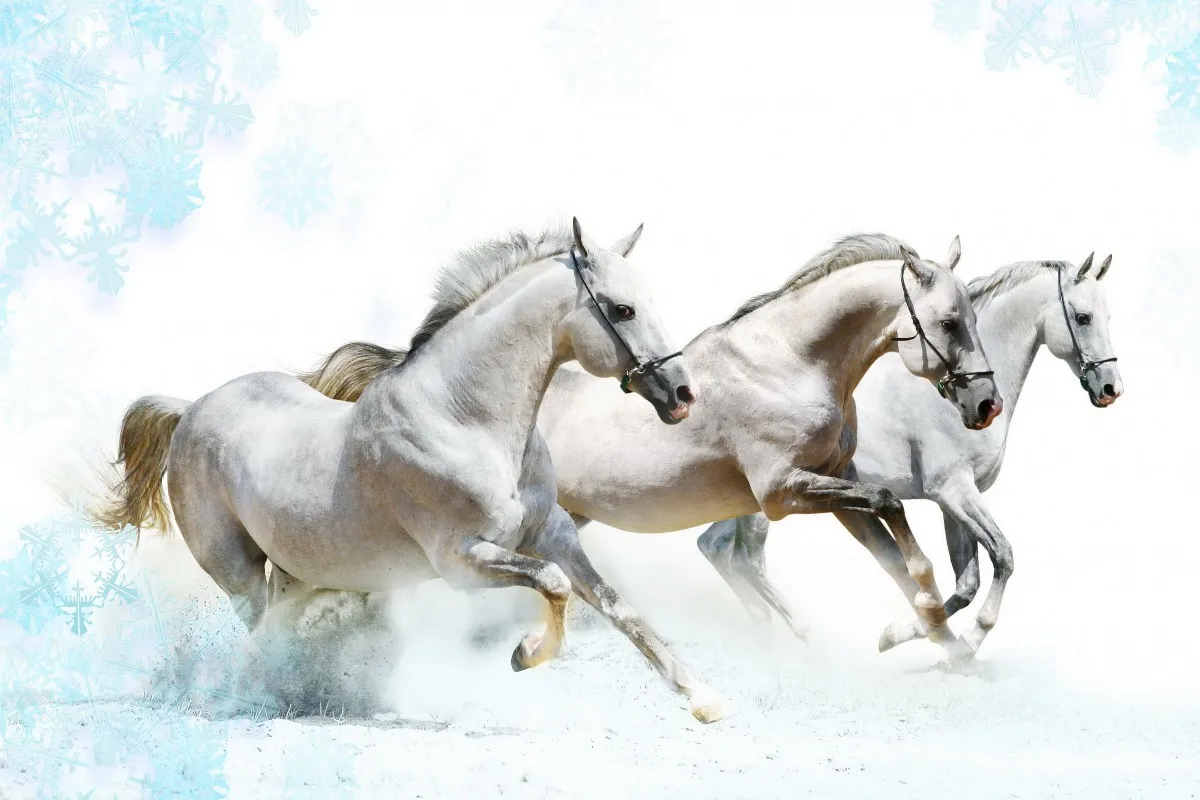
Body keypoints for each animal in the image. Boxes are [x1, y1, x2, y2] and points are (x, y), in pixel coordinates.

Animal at [95, 219, 736, 723]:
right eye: (623, 309)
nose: (683, 394)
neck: (464, 419)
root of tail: (190, 408)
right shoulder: (462, 561)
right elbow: (554, 586)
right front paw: (525, 654)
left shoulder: (553, 533)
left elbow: (617, 606)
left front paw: (704, 699)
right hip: (238, 574)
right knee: (261, 630)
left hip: (296, 569)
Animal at [297, 233, 1003, 663]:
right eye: (949, 322)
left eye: (973, 317)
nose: (985, 404)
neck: (790, 363)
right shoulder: (783, 492)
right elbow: (891, 504)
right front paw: (928, 624)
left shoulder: (832, 487)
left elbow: (894, 546)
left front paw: (936, 637)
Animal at [697, 254, 1122, 658]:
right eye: (1083, 317)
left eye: (1107, 316)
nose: (1110, 389)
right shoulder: (953, 491)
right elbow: (1002, 556)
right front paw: (964, 640)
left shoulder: (953, 501)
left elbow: (966, 583)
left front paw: (904, 635)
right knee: (747, 559)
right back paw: (802, 635)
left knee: (714, 547)